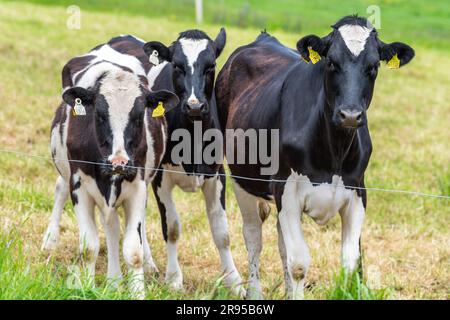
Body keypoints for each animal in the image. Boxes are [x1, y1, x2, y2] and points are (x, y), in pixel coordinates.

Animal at [42, 35, 178, 298]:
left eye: (139, 115)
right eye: (100, 114)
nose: (119, 162)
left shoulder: (137, 187)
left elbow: (133, 250)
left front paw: (137, 290)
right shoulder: (80, 186)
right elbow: (89, 247)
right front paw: (86, 286)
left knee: (117, 227)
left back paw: (123, 276)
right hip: (65, 168)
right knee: (60, 189)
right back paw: (50, 242)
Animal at [143, 28, 243, 294]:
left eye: (211, 66)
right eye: (177, 66)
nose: (195, 106)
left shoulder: (216, 175)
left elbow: (222, 232)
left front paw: (234, 281)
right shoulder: (160, 177)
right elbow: (172, 228)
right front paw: (173, 278)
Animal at [216, 16, 416, 298]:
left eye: (374, 65)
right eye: (331, 62)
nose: (350, 115)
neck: (334, 153)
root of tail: (263, 38)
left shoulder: (358, 191)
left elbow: (350, 261)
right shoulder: (286, 190)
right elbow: (299, 263)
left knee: (281, 243)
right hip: (241, 178)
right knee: (253, 236)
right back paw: (254, 292)